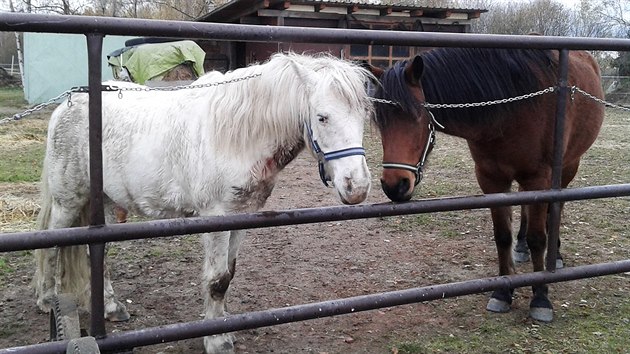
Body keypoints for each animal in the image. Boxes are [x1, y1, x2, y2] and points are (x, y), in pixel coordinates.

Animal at [33, 51, 376, 352]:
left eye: (364, 116)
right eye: (322, 117)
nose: (357, 186)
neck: (236, 136)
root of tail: (67, 105)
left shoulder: (242, 215)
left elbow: (228, 276)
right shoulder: (217, 217)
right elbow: (216, 280)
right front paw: (217, 340)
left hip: (102, 201)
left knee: (97, 254)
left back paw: (111, 307)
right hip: (68, 200)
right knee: (51, 243)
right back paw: (47, 300)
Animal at [370, 47, 608, 324]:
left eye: (418, 115)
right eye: (379, 121)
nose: (394, 186)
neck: (512, 108)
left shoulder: (538, 177)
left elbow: (539, 238)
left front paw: (540, 297)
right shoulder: (491, 179)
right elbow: (502, 236)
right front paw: (503, 292)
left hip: (568, 167)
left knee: (555, 208)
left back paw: (555, 255)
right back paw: (521, 246)